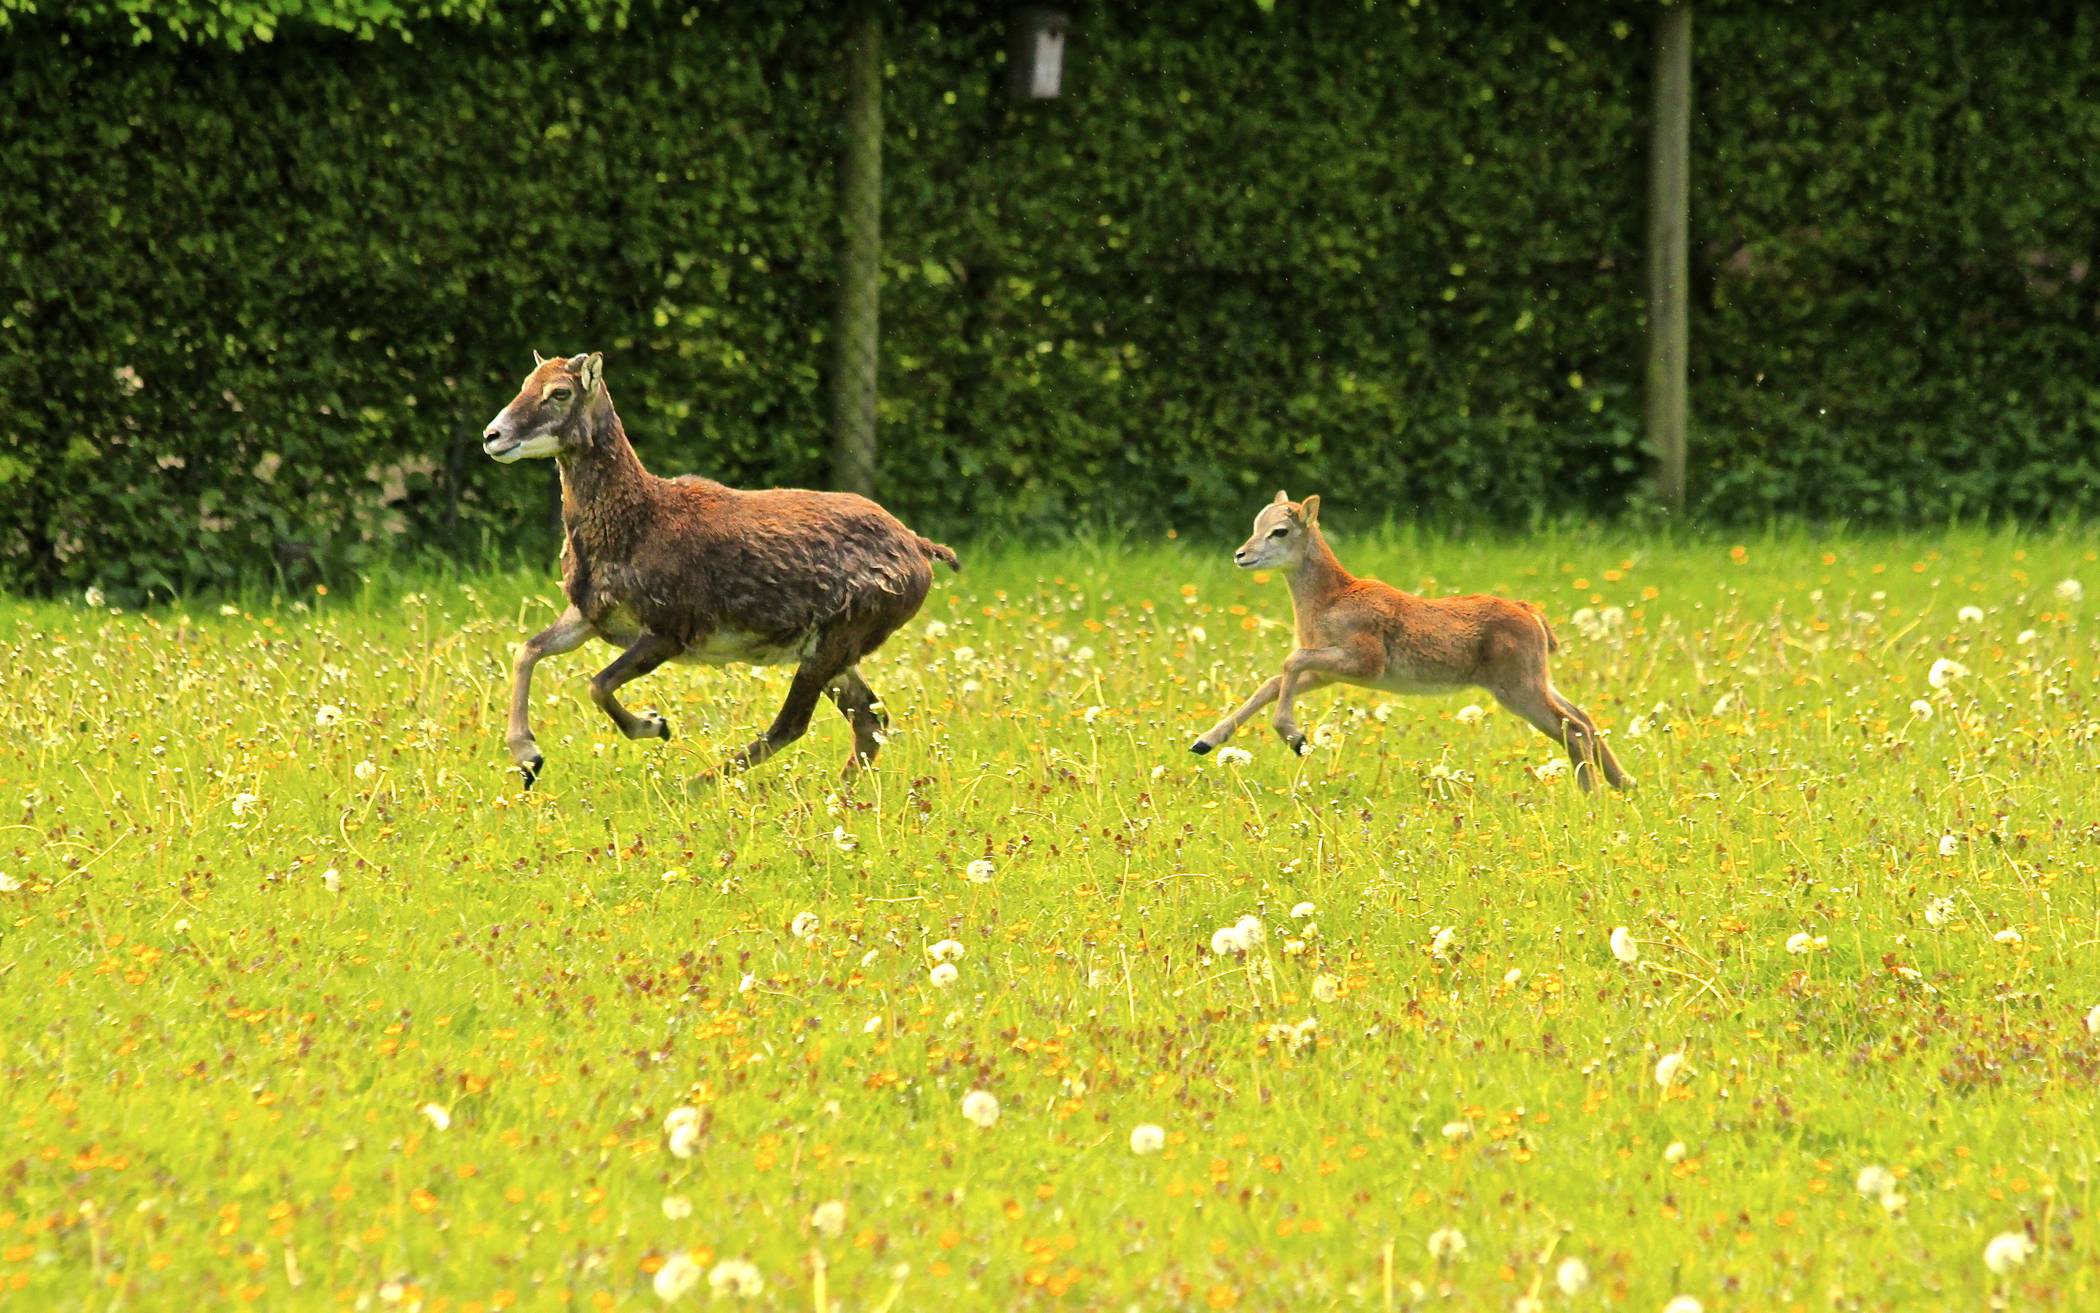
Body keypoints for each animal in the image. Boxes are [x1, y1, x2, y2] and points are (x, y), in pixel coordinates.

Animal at [480, 348, 957, 781]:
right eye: (526, 382)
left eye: (560, 392)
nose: (492, 435)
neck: (633, 524)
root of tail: (921, 549)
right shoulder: (591, 615)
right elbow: (528, 649)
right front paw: (528, 756)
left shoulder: (670, 629)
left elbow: (597, 685)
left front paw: (656, 724)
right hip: (833, 649)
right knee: (869, 717)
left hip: (836, 639)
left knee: (794, 724)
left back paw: (698, 784)